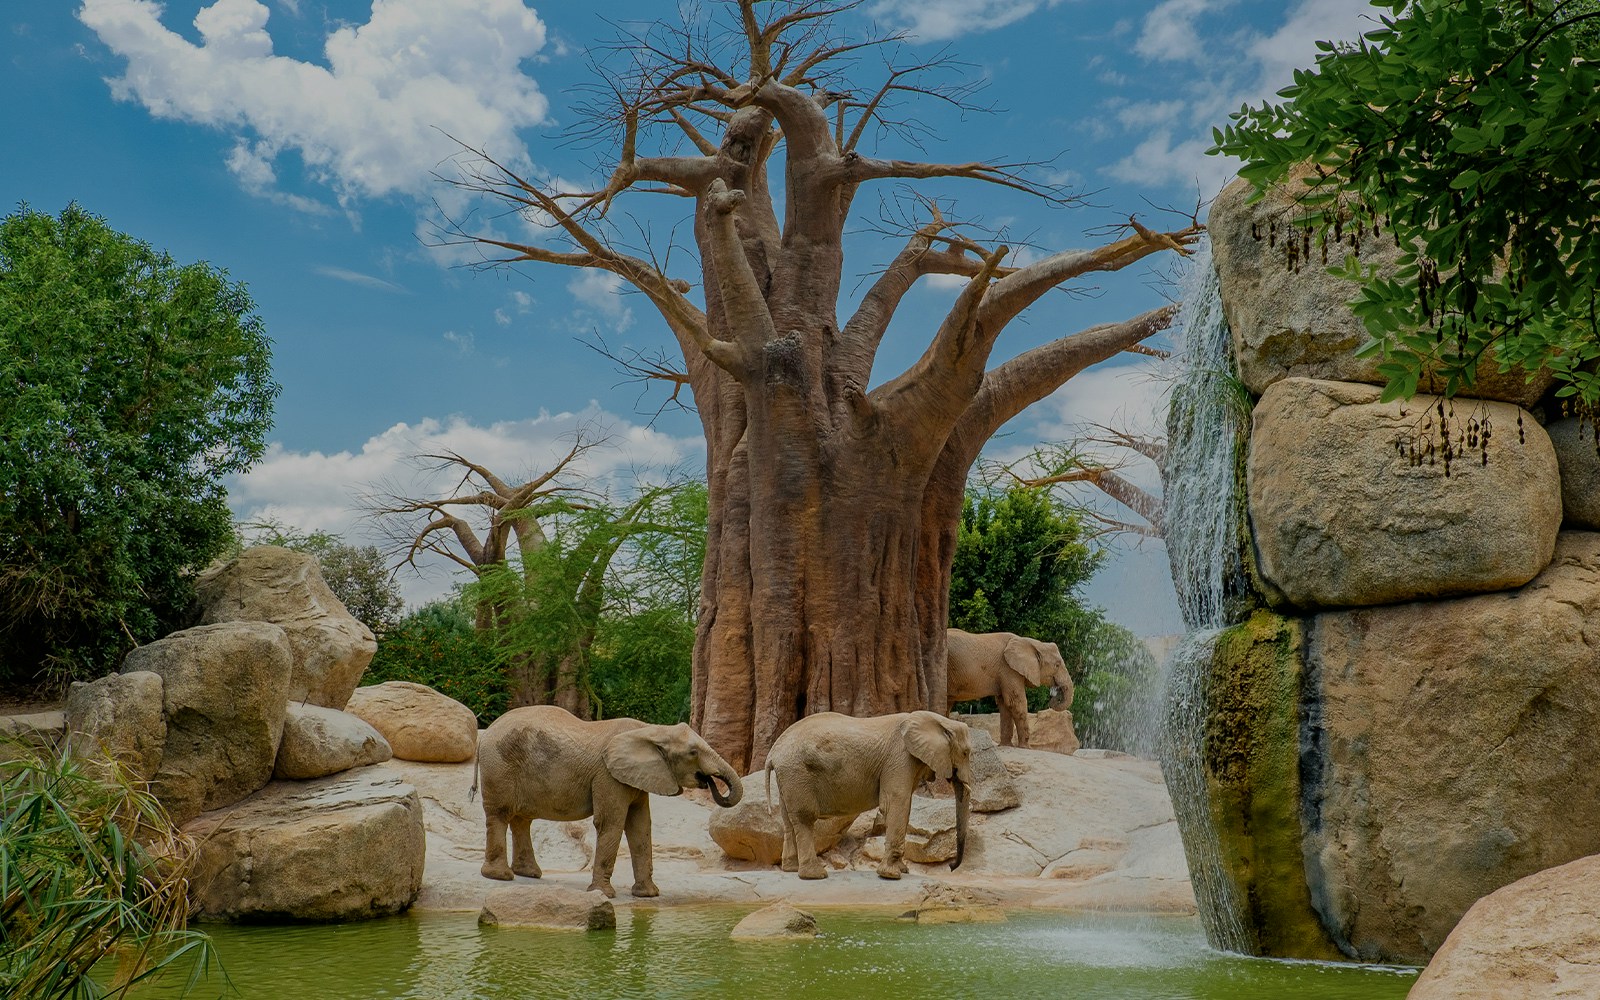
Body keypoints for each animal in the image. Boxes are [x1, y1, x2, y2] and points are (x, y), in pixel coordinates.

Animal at [471, 705, 743, 898]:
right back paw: (501, 877)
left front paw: (648, 895)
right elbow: (611, 823)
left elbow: (640, 827)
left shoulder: (635, 778)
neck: (650, 730)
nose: (709, 781)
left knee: (521, 819)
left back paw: (529, 874)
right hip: (499, 767)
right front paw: (604, 895)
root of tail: (483, 736)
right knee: (500, 814)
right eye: (693, 753)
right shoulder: (607, 776)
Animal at [765, 711, 974, 881]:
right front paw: (891, 875)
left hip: (788, 777)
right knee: (805, 818)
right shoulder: (899, 758)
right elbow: (897, 802)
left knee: (788, 820)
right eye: (966, 753)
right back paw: (815, 875)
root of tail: (772, 753)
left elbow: (902, 806)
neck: (940, 720)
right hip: (797, 773)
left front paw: (902, 870)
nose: (951, 866)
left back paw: (791, 869)